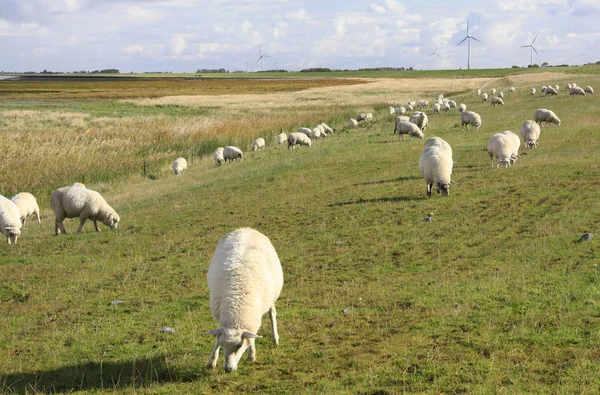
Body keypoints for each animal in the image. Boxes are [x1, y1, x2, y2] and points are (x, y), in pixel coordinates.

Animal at [206, 227, 284, 372]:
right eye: (223, 345)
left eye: (239, 346)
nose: (228, 369)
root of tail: (246, 228)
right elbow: (217, 338)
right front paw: (211, 361)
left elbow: (251, 337)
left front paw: (251, 355)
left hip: (272, 297)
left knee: (272, 313)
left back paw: (275, 338)